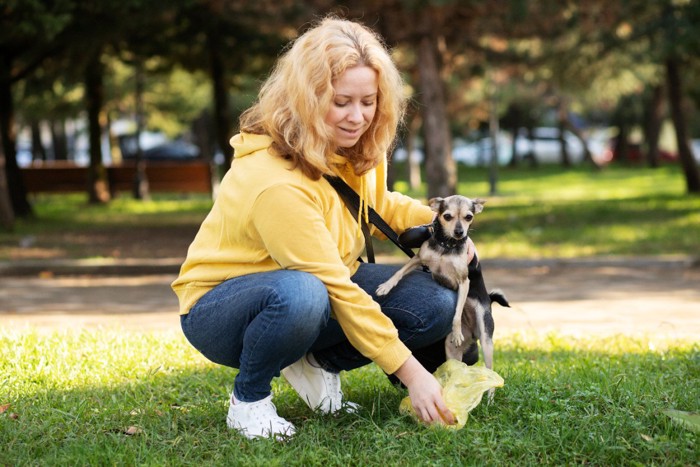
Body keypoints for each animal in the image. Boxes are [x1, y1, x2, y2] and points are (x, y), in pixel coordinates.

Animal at [378, 196, 508, 396]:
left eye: (469, 217)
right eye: (447, 216)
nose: (460, 232)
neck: (446, 246)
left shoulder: (463, 283)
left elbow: (457, 313)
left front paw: (456, 330)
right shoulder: (417, 260)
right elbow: (399, 272)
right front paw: (386, 286)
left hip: (486, 339)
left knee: (491, 373)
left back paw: (489, 398)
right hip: (451, 350)